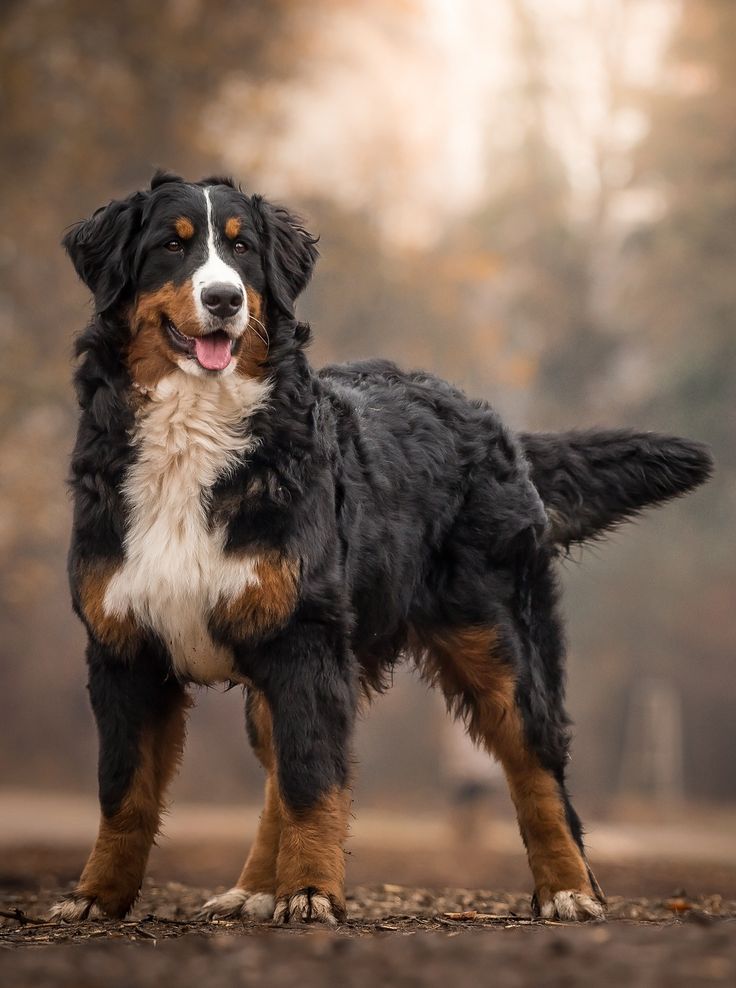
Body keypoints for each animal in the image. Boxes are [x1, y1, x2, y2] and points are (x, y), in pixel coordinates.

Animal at [51, 168, 712, 928]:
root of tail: (492, 422)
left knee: (537, 769)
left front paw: (312, 892)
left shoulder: (304, 640)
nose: (224, 299)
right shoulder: (125, 646)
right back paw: (255, 887)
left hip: (499, 642)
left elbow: (314, 784)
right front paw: (96, 897)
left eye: (243, 251)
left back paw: (569, 889)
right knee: (279, 773)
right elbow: (124, 793)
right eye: (171, 245)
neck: (194, 435)